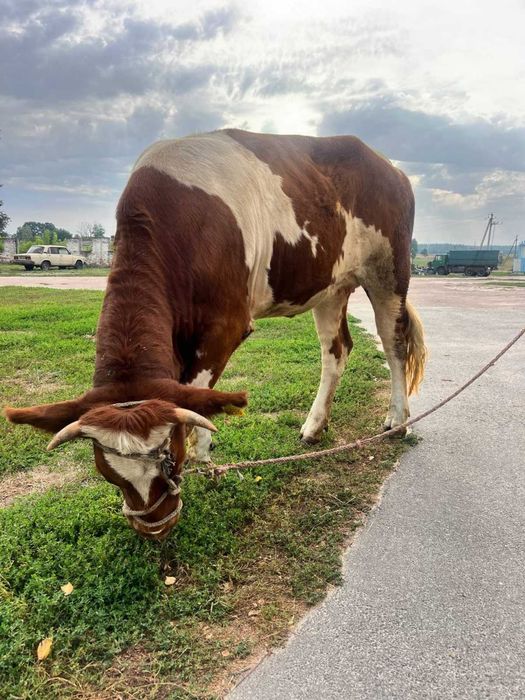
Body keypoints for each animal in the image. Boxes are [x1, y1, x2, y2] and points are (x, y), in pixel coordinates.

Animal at [4, 129, 426, 540]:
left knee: (394, 343)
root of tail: (387, 165)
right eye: (107, 471)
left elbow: (197, 396)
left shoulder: (226, 325)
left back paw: (397, 420)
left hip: (389, 270)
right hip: (331, 285)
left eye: (169, 455)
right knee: (336, 351)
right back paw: (314, 426)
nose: (155, 527)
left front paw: (202, 455)